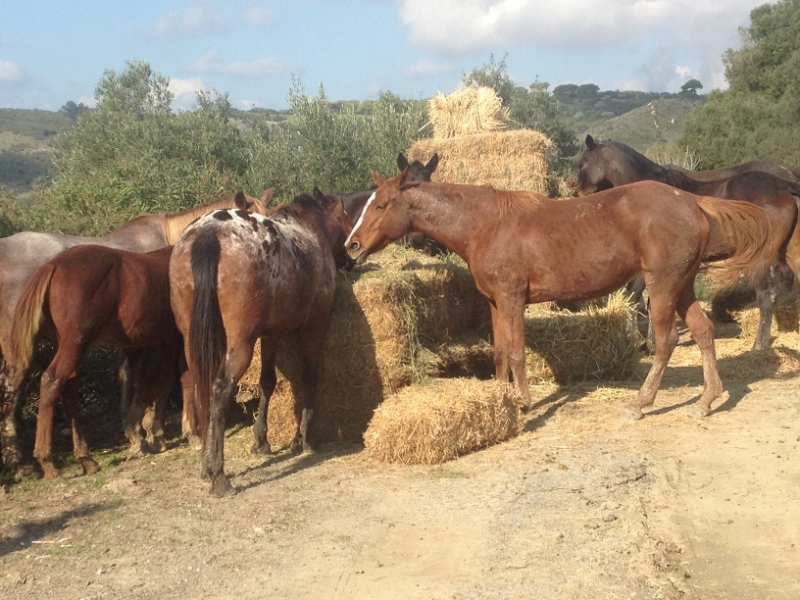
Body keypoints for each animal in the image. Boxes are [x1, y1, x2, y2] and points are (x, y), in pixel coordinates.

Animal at [0, 189, 272, 474]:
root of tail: (52, 265)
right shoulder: (168, 341)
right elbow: (166, 380)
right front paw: (171, 432)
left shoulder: (146, 341)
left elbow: (151, 382)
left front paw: (148, 433)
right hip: (54, 344)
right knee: (39, 383)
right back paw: (37, 461)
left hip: (68, 344)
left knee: (65, 388)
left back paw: (80, 458)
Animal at [169, 189, 351, 496]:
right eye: (349, 223)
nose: (352, 257)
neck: (310, 232)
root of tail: (208, 233)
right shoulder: (315, 325)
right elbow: (309, 375)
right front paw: (306, 438)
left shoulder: (270, 333)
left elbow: (267, 381)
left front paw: (261, 441)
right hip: (240, 344)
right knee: (220, 390)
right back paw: (219, 476)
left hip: (192, 342)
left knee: (201, 388)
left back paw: (206, 466)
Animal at [345, 170, 772, 420]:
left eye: (381, 204)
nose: (351, 245)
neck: (485, 225)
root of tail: (692, 202)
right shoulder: (496, 302)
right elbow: (500, 352)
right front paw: (501, 399)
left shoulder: (513, 299)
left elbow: (517, 353)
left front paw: (524, 404)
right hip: (681, 284)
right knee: (702, 331)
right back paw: (706, 400)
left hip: (663, 284)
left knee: (666, 340)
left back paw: (641, 403)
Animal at [575, 135, 800, 350]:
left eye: (582, 164)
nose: (577, 195)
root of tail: (783, 185)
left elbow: (639, 298)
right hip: (785, 251)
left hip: (760, 258)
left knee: (766, 295)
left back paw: (759, 344)